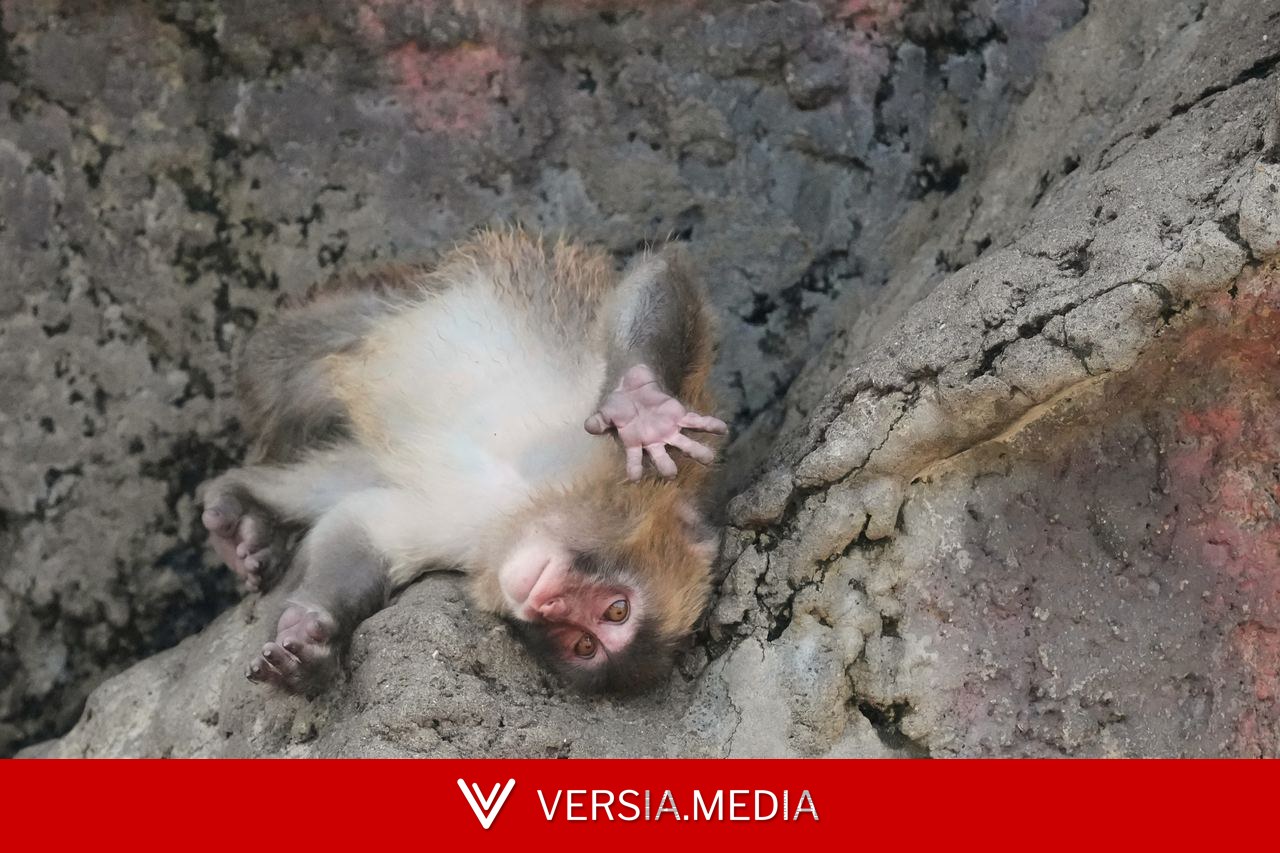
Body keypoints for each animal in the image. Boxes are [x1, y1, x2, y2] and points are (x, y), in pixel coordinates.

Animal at [198, 229, 727, 695]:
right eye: (617, 610)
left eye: (584, 643)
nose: (548, 604)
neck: (531, 500)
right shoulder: (636, 464)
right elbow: (660, 273)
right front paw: (641, 406)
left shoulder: (469, 545)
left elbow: (361, 529)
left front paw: (311, 640)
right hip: (384, 303)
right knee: (286, 364)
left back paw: (248, 513)